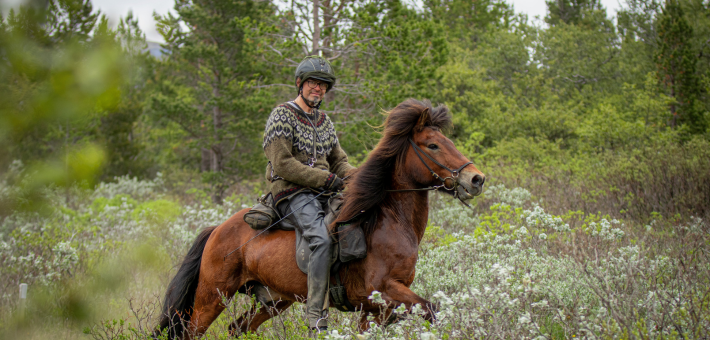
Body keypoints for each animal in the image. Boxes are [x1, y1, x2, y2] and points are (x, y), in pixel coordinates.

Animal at [154, 97, 490, 338]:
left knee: (238, 328)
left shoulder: (374, 309)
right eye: (432, 145)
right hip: (212, 297)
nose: (476, 179)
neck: (389, 223)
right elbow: (430, 308)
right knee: (191, 332)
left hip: (274, 300)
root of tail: (217, 230)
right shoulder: (383, 291)